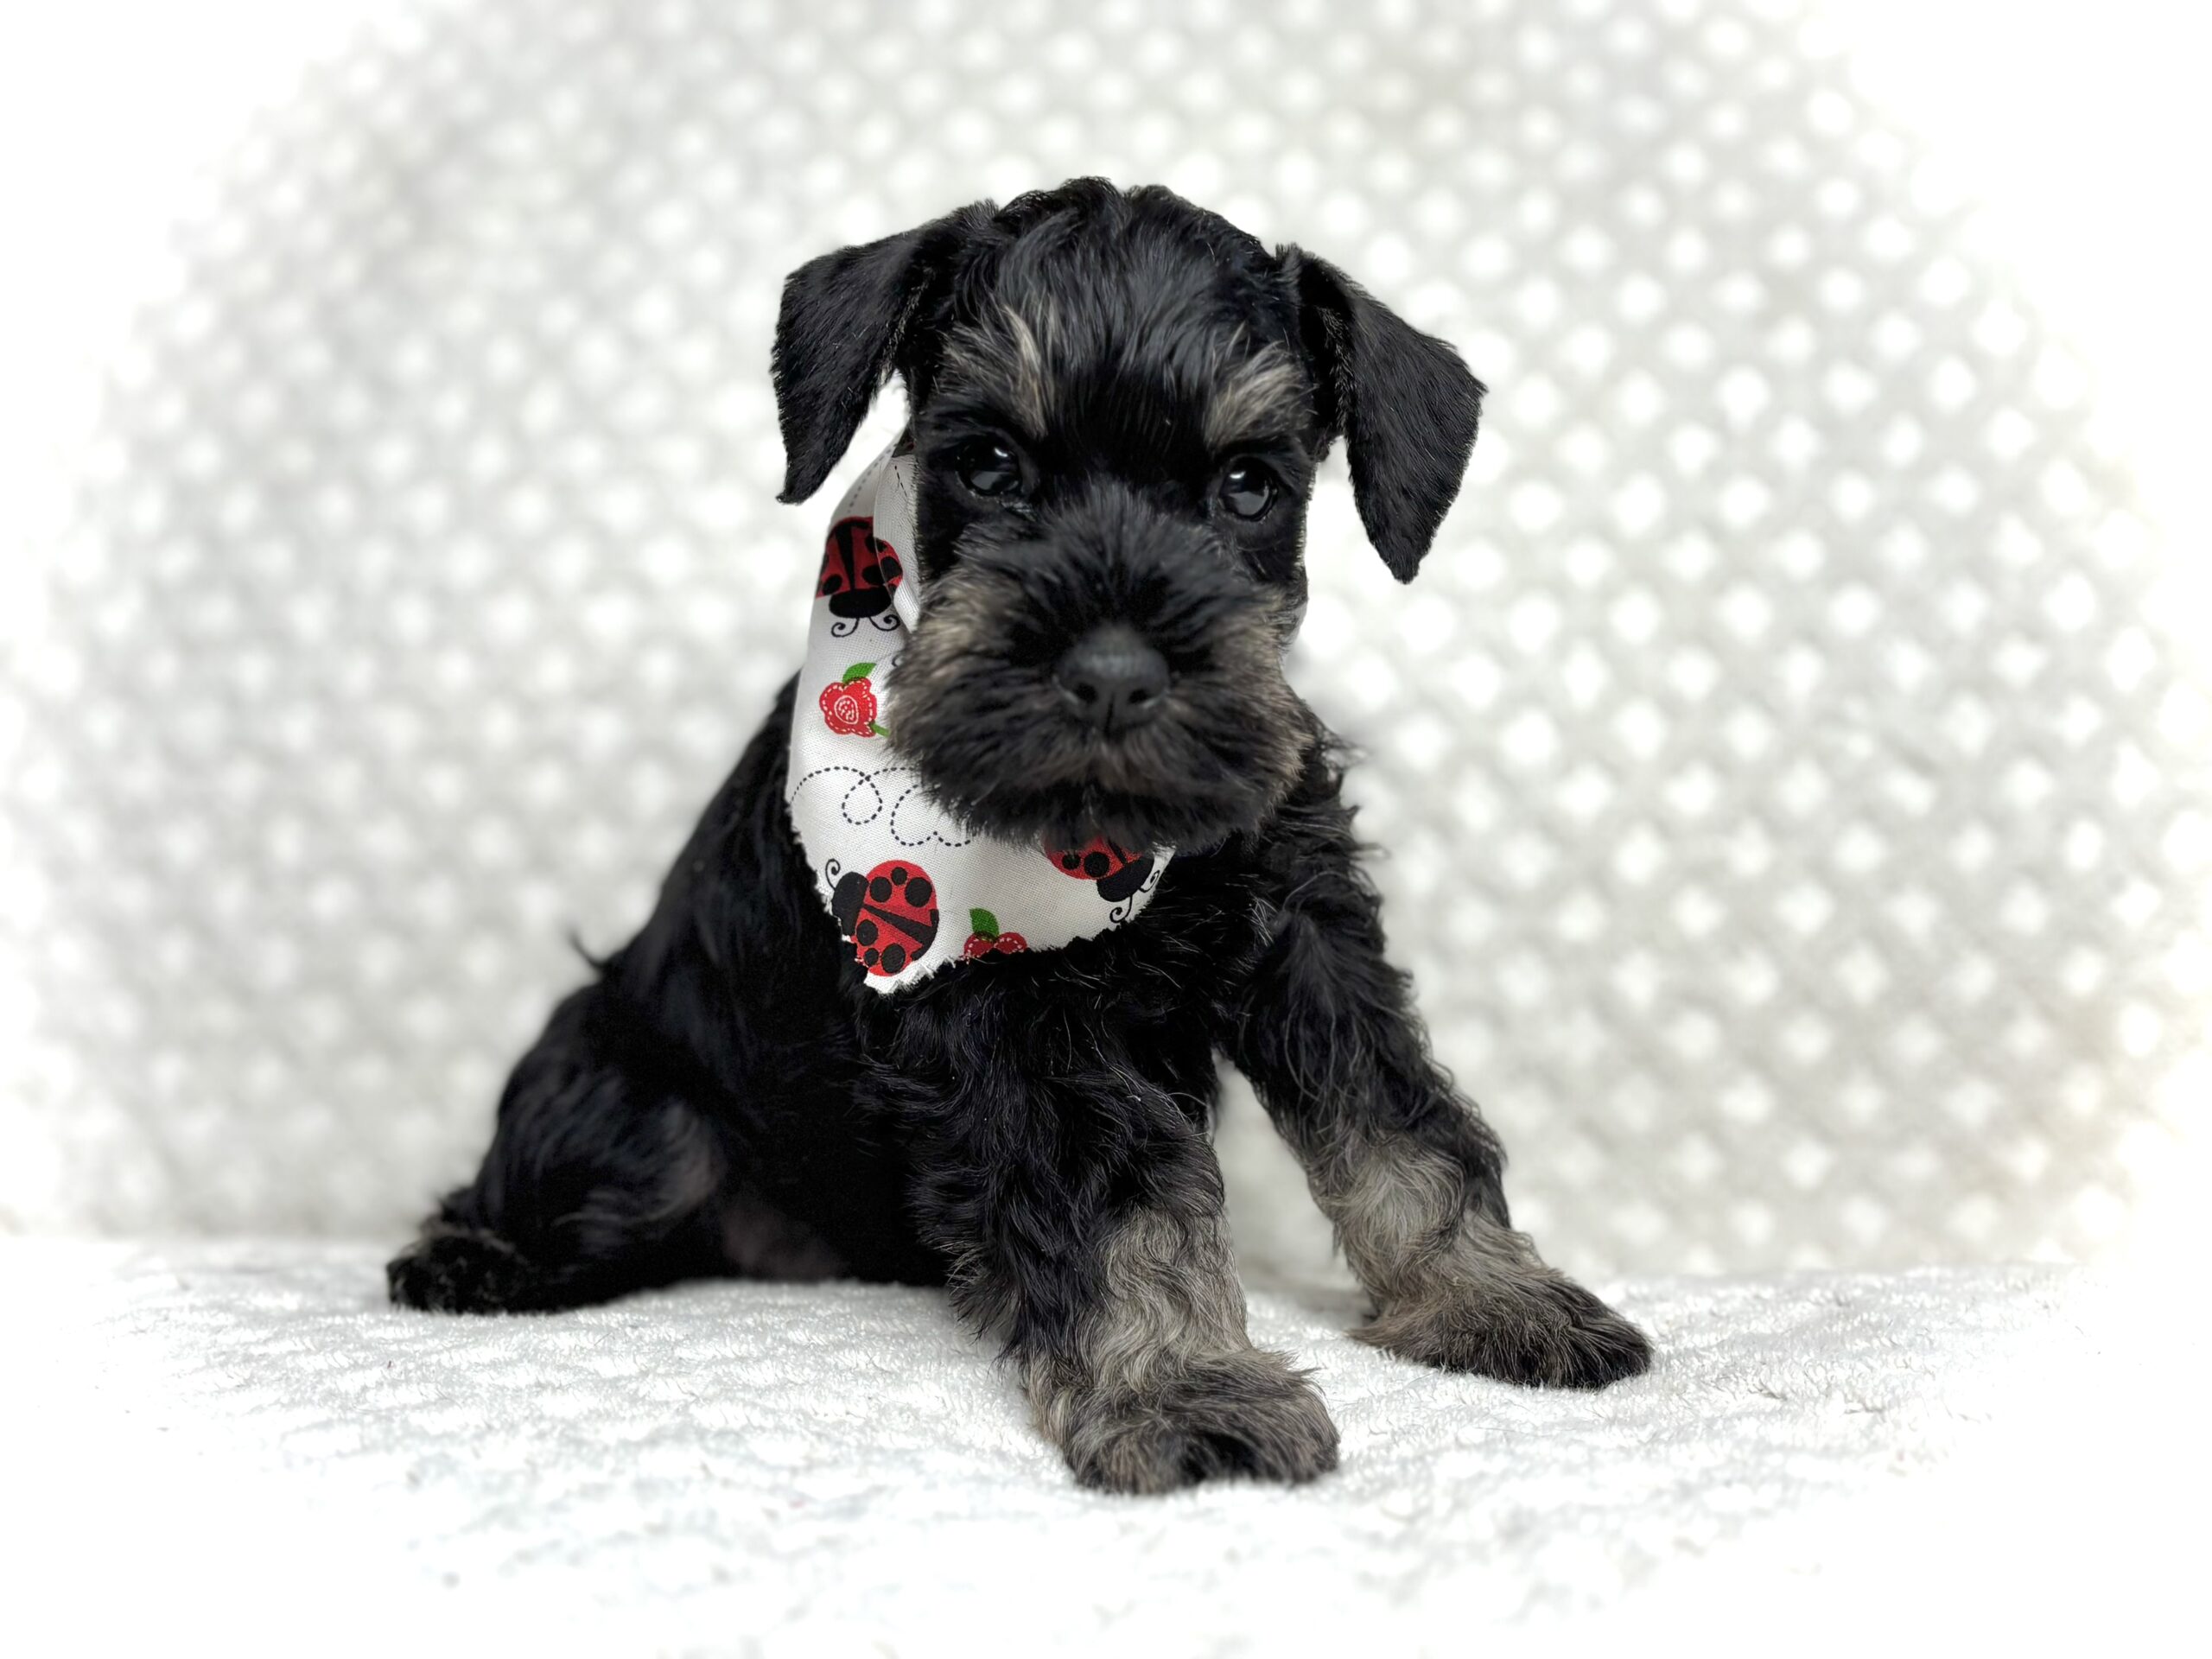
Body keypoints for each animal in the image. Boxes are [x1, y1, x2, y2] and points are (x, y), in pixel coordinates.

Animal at [388, 179, 1652, 1493]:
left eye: (1249, 483)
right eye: (989, 462)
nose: (1112, 677)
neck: (1103, 845)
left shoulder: (1308, 933)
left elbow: (1402, 1123)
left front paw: (1497, 1299)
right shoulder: (1000, 1014)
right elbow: (1116, 1200)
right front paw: (1184, 1388)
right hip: (639, 1109)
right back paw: (472, 1257)